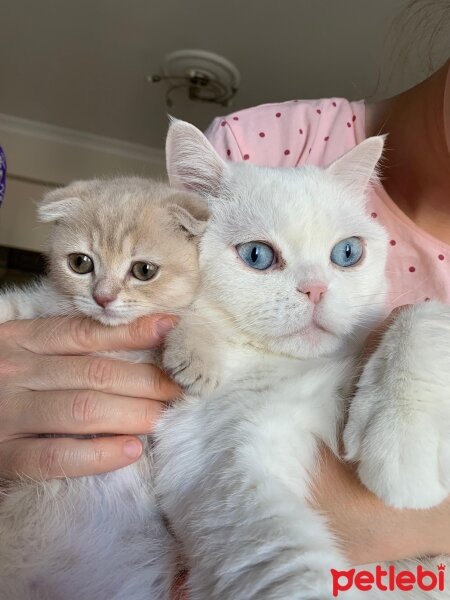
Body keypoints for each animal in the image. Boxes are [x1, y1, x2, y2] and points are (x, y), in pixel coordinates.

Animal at [0, 176, 208, 600]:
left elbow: (193, 320)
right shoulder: (38, 308)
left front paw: (193, 353)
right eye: (80, 263)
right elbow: (11, 308)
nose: (103, 297)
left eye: (143, 270)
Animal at [153, 119, 448, 596]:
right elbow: (283, 561)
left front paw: (404, 446)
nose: (316, 290)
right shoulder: (219, 472)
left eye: (347, 253)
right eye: (256, 255)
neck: (286, 367)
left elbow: (419, 313)